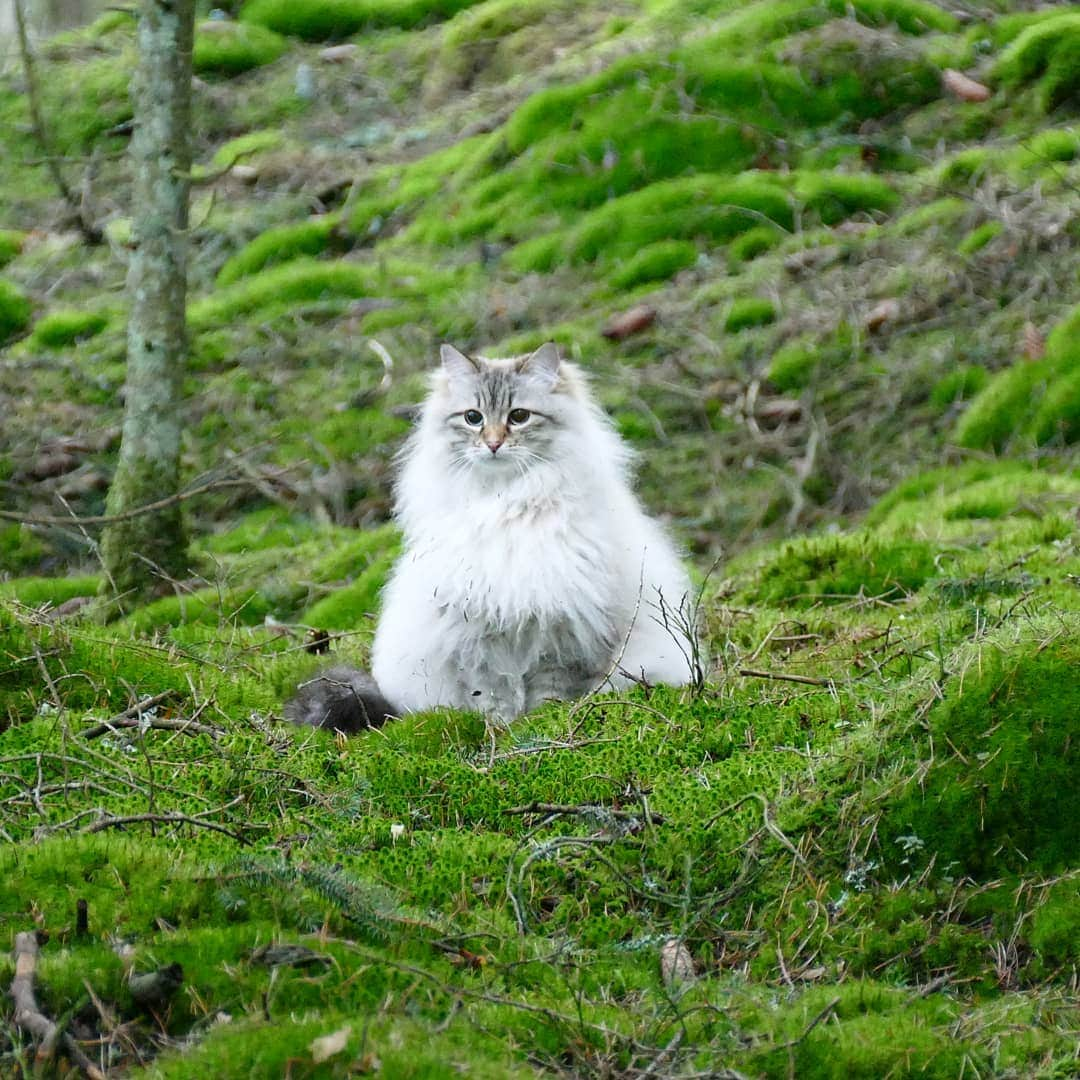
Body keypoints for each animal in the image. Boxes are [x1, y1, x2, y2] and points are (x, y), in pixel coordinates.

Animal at [282, 343, 695, 734]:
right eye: (473, 418)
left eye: (519, 416)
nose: (494, 444)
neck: (505, 505)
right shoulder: (478, 636)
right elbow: (494, 694)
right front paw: (500, 728)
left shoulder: (562, 633)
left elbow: (549, 690)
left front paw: (542, 723)